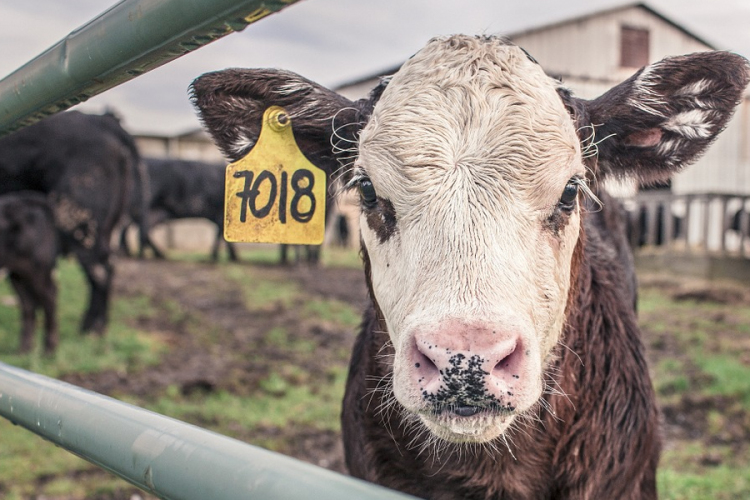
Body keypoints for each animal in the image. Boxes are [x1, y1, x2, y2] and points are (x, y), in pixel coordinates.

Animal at [0, 111, 137, 334]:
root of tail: (101, 120)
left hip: (78, 220)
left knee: (100, 270)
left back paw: (92, 327)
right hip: (104, 226)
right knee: (107, 266)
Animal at [0, 190, 58, 352]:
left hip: (38, 269)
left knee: (50, 296)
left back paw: (49, 349)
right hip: (18, 273)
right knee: (28, 303)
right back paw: (24, 349)